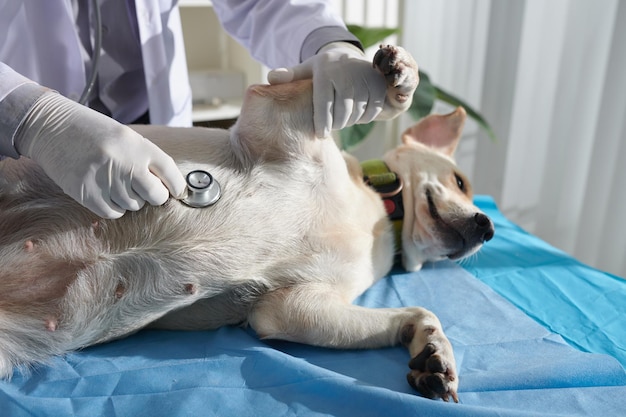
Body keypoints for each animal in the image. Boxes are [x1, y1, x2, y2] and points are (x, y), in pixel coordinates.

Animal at [0, 44, 492, 400]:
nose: (487, 228)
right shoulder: (274, 108)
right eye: (461, 180)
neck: (376, 216)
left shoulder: (291, 307)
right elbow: (369, 99)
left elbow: (416, 313)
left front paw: (434, 354)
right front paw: (398, 78)